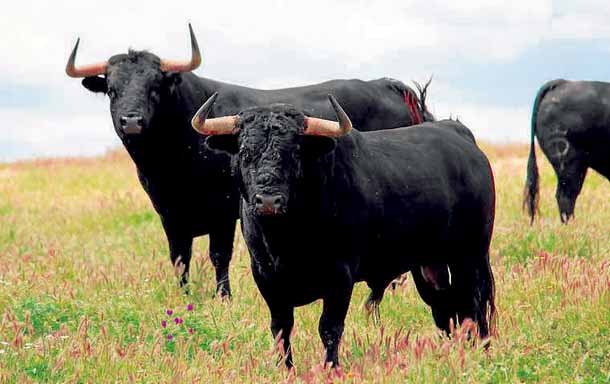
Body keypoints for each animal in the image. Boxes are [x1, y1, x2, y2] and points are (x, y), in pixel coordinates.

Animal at [192, 92, 496, 366]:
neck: (286, 239)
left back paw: (481, 350)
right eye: (245, 153)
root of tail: (459, 135)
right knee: (445, 307)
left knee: (474, 304)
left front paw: (331, 367)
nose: (268, 201)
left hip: (470, 257)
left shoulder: (340, 275)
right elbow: (281, 328)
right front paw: (285, 368)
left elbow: (329, 327)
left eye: (295, 152)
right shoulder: (266, 276)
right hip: (429, 265)